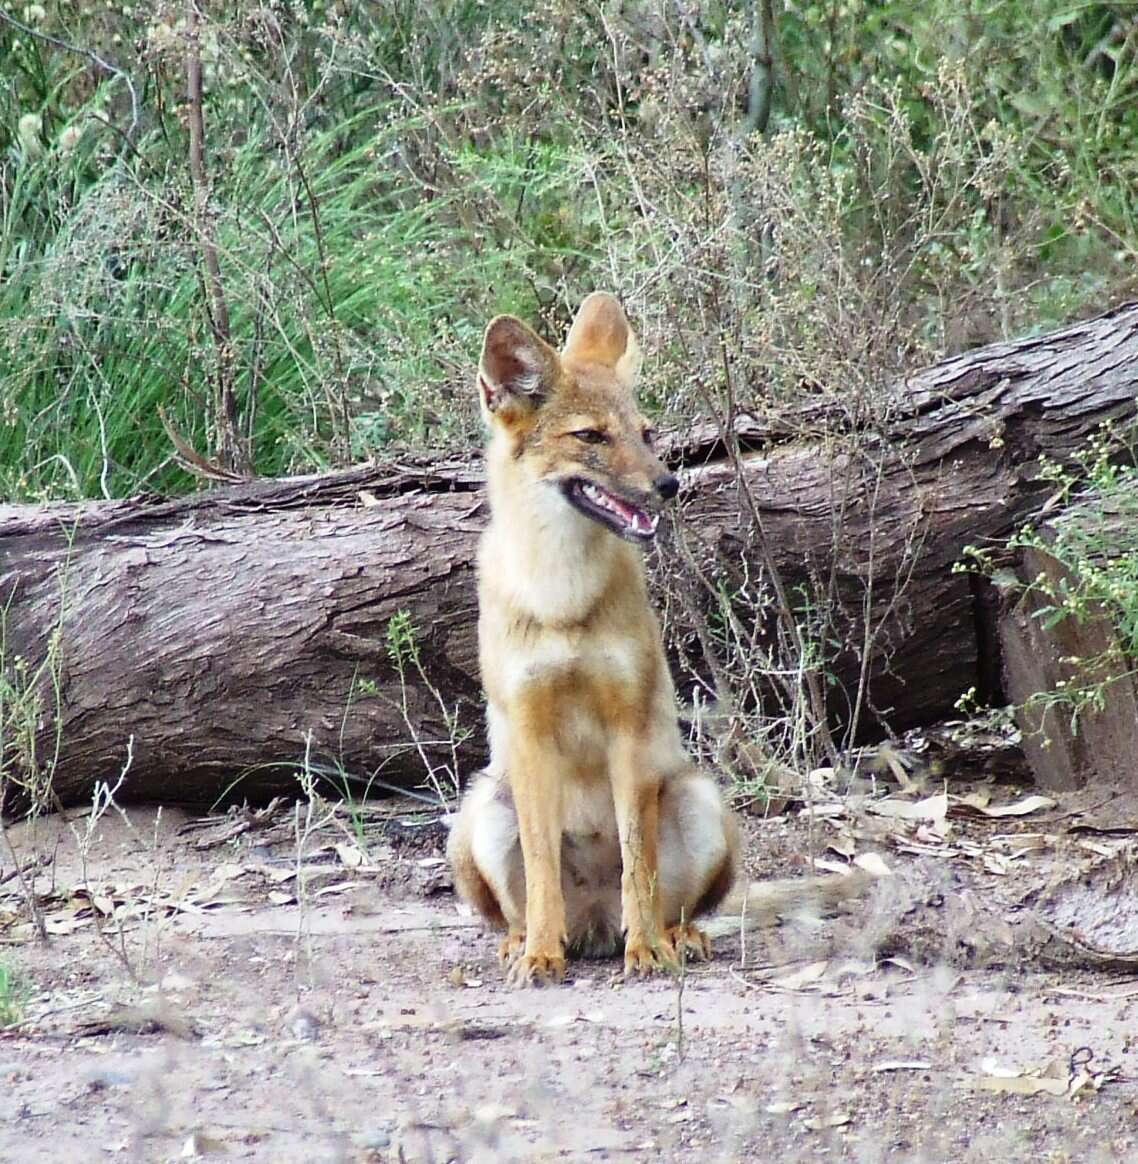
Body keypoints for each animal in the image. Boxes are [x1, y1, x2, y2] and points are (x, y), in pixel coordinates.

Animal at [449, 291, 740, 982]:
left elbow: (639, 863)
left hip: (697, 797)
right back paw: (525, 942)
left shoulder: (627, 726)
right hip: (481, 809)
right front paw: (540, 955)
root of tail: (595, 926)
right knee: (518, 906)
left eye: (647, 434)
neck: (562, 600)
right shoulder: (530, 728)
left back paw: (670, 936)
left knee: (666, 899)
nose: (669, 485)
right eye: (591, 437)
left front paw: (648, 951)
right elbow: (541, 866)